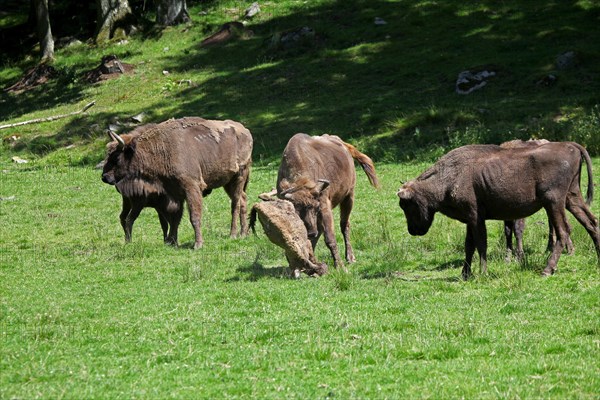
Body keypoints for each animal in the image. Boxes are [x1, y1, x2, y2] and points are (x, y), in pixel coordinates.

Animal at [102, 116, 252, 247]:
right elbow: (175, 218)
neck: (162, 148)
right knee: (243, 199)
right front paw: (173, 242)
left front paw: (198, 244)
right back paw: (243, 233)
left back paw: (233, 234)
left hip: (239, 175)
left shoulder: (191, 188)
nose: (104, 177)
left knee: (235, 203)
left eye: (116, 157)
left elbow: (193, 216)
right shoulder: (175, 193)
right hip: (228, 182)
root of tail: (246, 131)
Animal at [274, 134, 378, 268]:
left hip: (349, 196)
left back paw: (350, 258)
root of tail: (342, 143)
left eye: (316, 207)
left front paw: (339, 265)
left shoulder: (324, 207)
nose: (311, 232)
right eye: (297, 211)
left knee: (344, 225)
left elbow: (329, 238)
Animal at [396, 143, 596, 278]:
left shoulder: (476, 217)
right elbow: (469, 246)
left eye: (406, 204)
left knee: (564, 230)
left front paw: (482, 272)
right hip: (571, 197)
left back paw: (547, 269)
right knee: (591, 222)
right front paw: (465, 274)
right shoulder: (470, 219)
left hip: (553, 201)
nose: (413, 230)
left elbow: (481, 244)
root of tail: (571, 146)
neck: (449, 176)